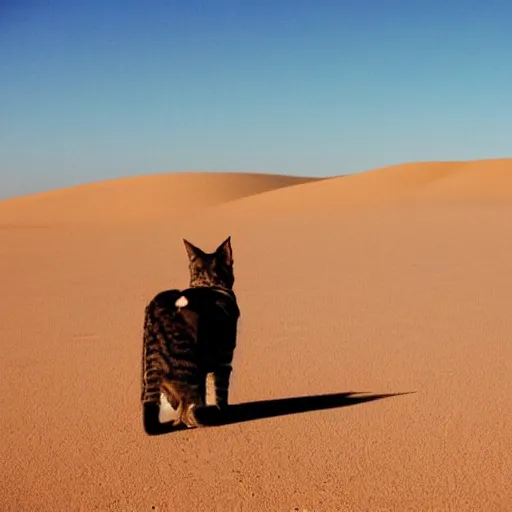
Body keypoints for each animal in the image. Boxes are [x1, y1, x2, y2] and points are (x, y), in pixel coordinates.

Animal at [141, 238, 241, 434]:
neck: (208, 284)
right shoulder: (224, 360)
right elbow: (220, 392)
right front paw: (223, 412)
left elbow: (210, 388)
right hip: (188, 366)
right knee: (189, 411)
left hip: (150, 372)